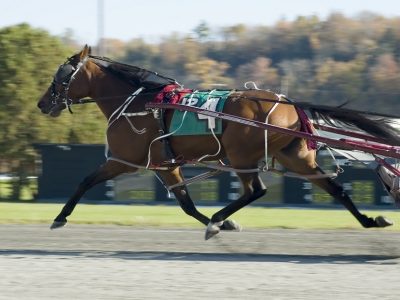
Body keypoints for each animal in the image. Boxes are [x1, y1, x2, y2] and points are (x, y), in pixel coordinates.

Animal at [36, 45, 394, 239]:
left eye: (60, 76)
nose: (42, 103)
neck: (139, 102)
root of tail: (289, 103)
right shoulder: (165, 165)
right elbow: (186, 204)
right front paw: (220, 223)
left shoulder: (124, 159)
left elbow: (85, 181)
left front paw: (59, 217)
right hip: (294, 157)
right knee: (334, 188)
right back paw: (370, 220)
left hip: (241, 155)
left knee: (256, 190)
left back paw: (219, 219)